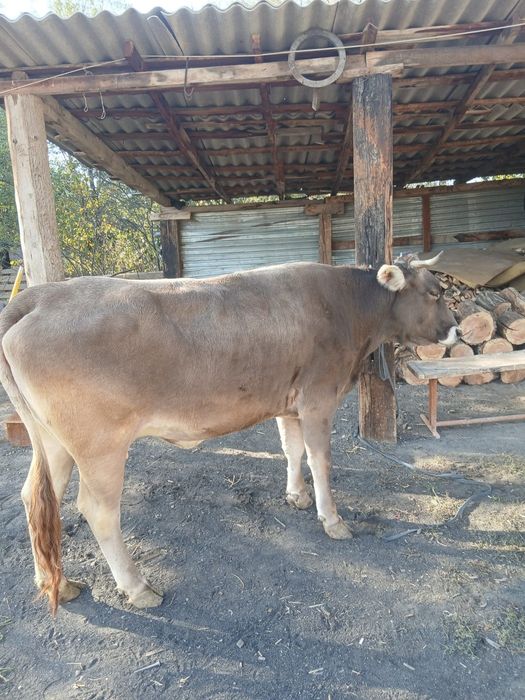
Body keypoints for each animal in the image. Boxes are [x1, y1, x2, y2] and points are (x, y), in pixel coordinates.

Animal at [0, 255, 458, 614]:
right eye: (433, 292)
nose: (456, 330)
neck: (346, 307)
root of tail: (40, 297)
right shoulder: (317, 399)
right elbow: (320, 459)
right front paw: (332, 520)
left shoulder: (288, 402)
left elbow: (291, 449)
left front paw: (296, 496)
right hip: (100, 445)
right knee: (97, 509)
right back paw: (139, 588)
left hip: (52, 442)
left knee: (36, 498)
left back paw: (60, 585)